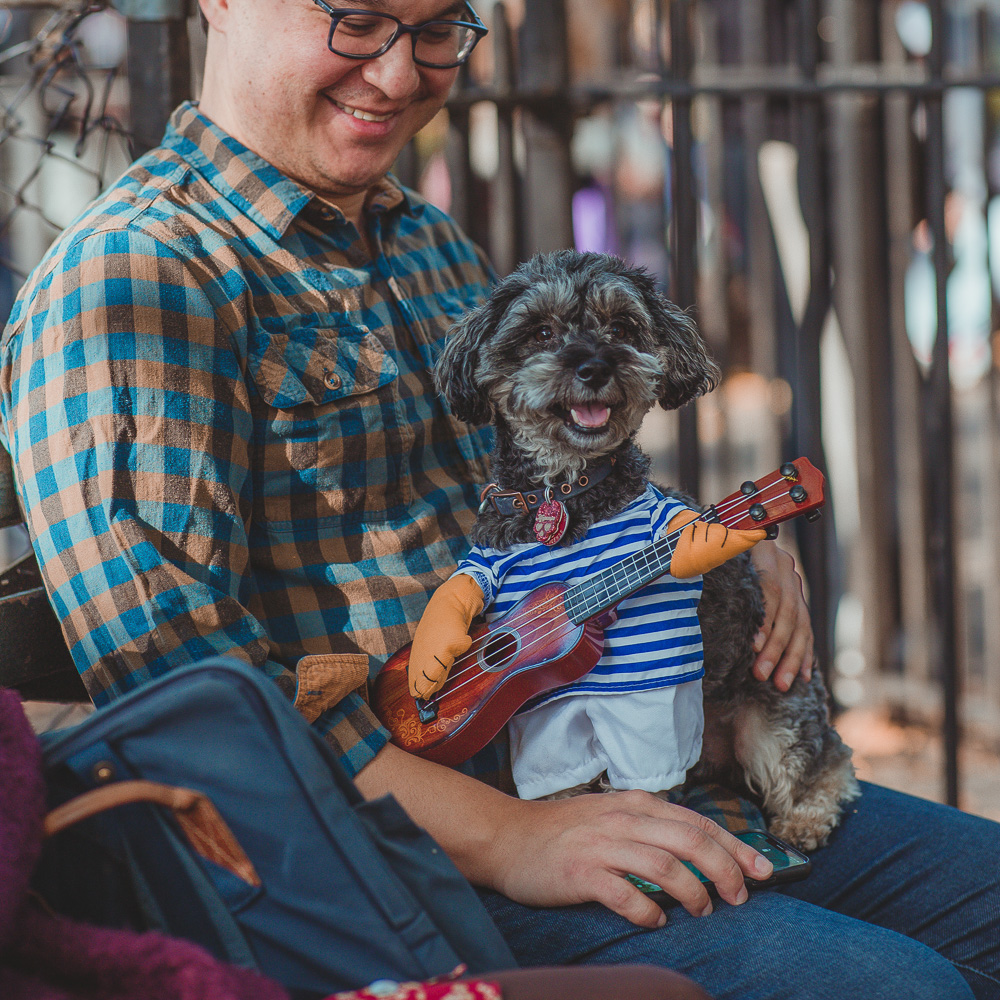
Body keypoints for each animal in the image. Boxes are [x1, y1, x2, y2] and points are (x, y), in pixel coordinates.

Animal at [438, 246, 860, 848]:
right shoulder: (541, 704)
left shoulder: (649, 686)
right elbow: (558, 777)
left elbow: (647, 777)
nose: (595, 367)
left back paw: (804, 816)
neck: (564, 493)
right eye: (541, 331)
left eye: (621, 327)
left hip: (775, 705)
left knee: (822, 760)